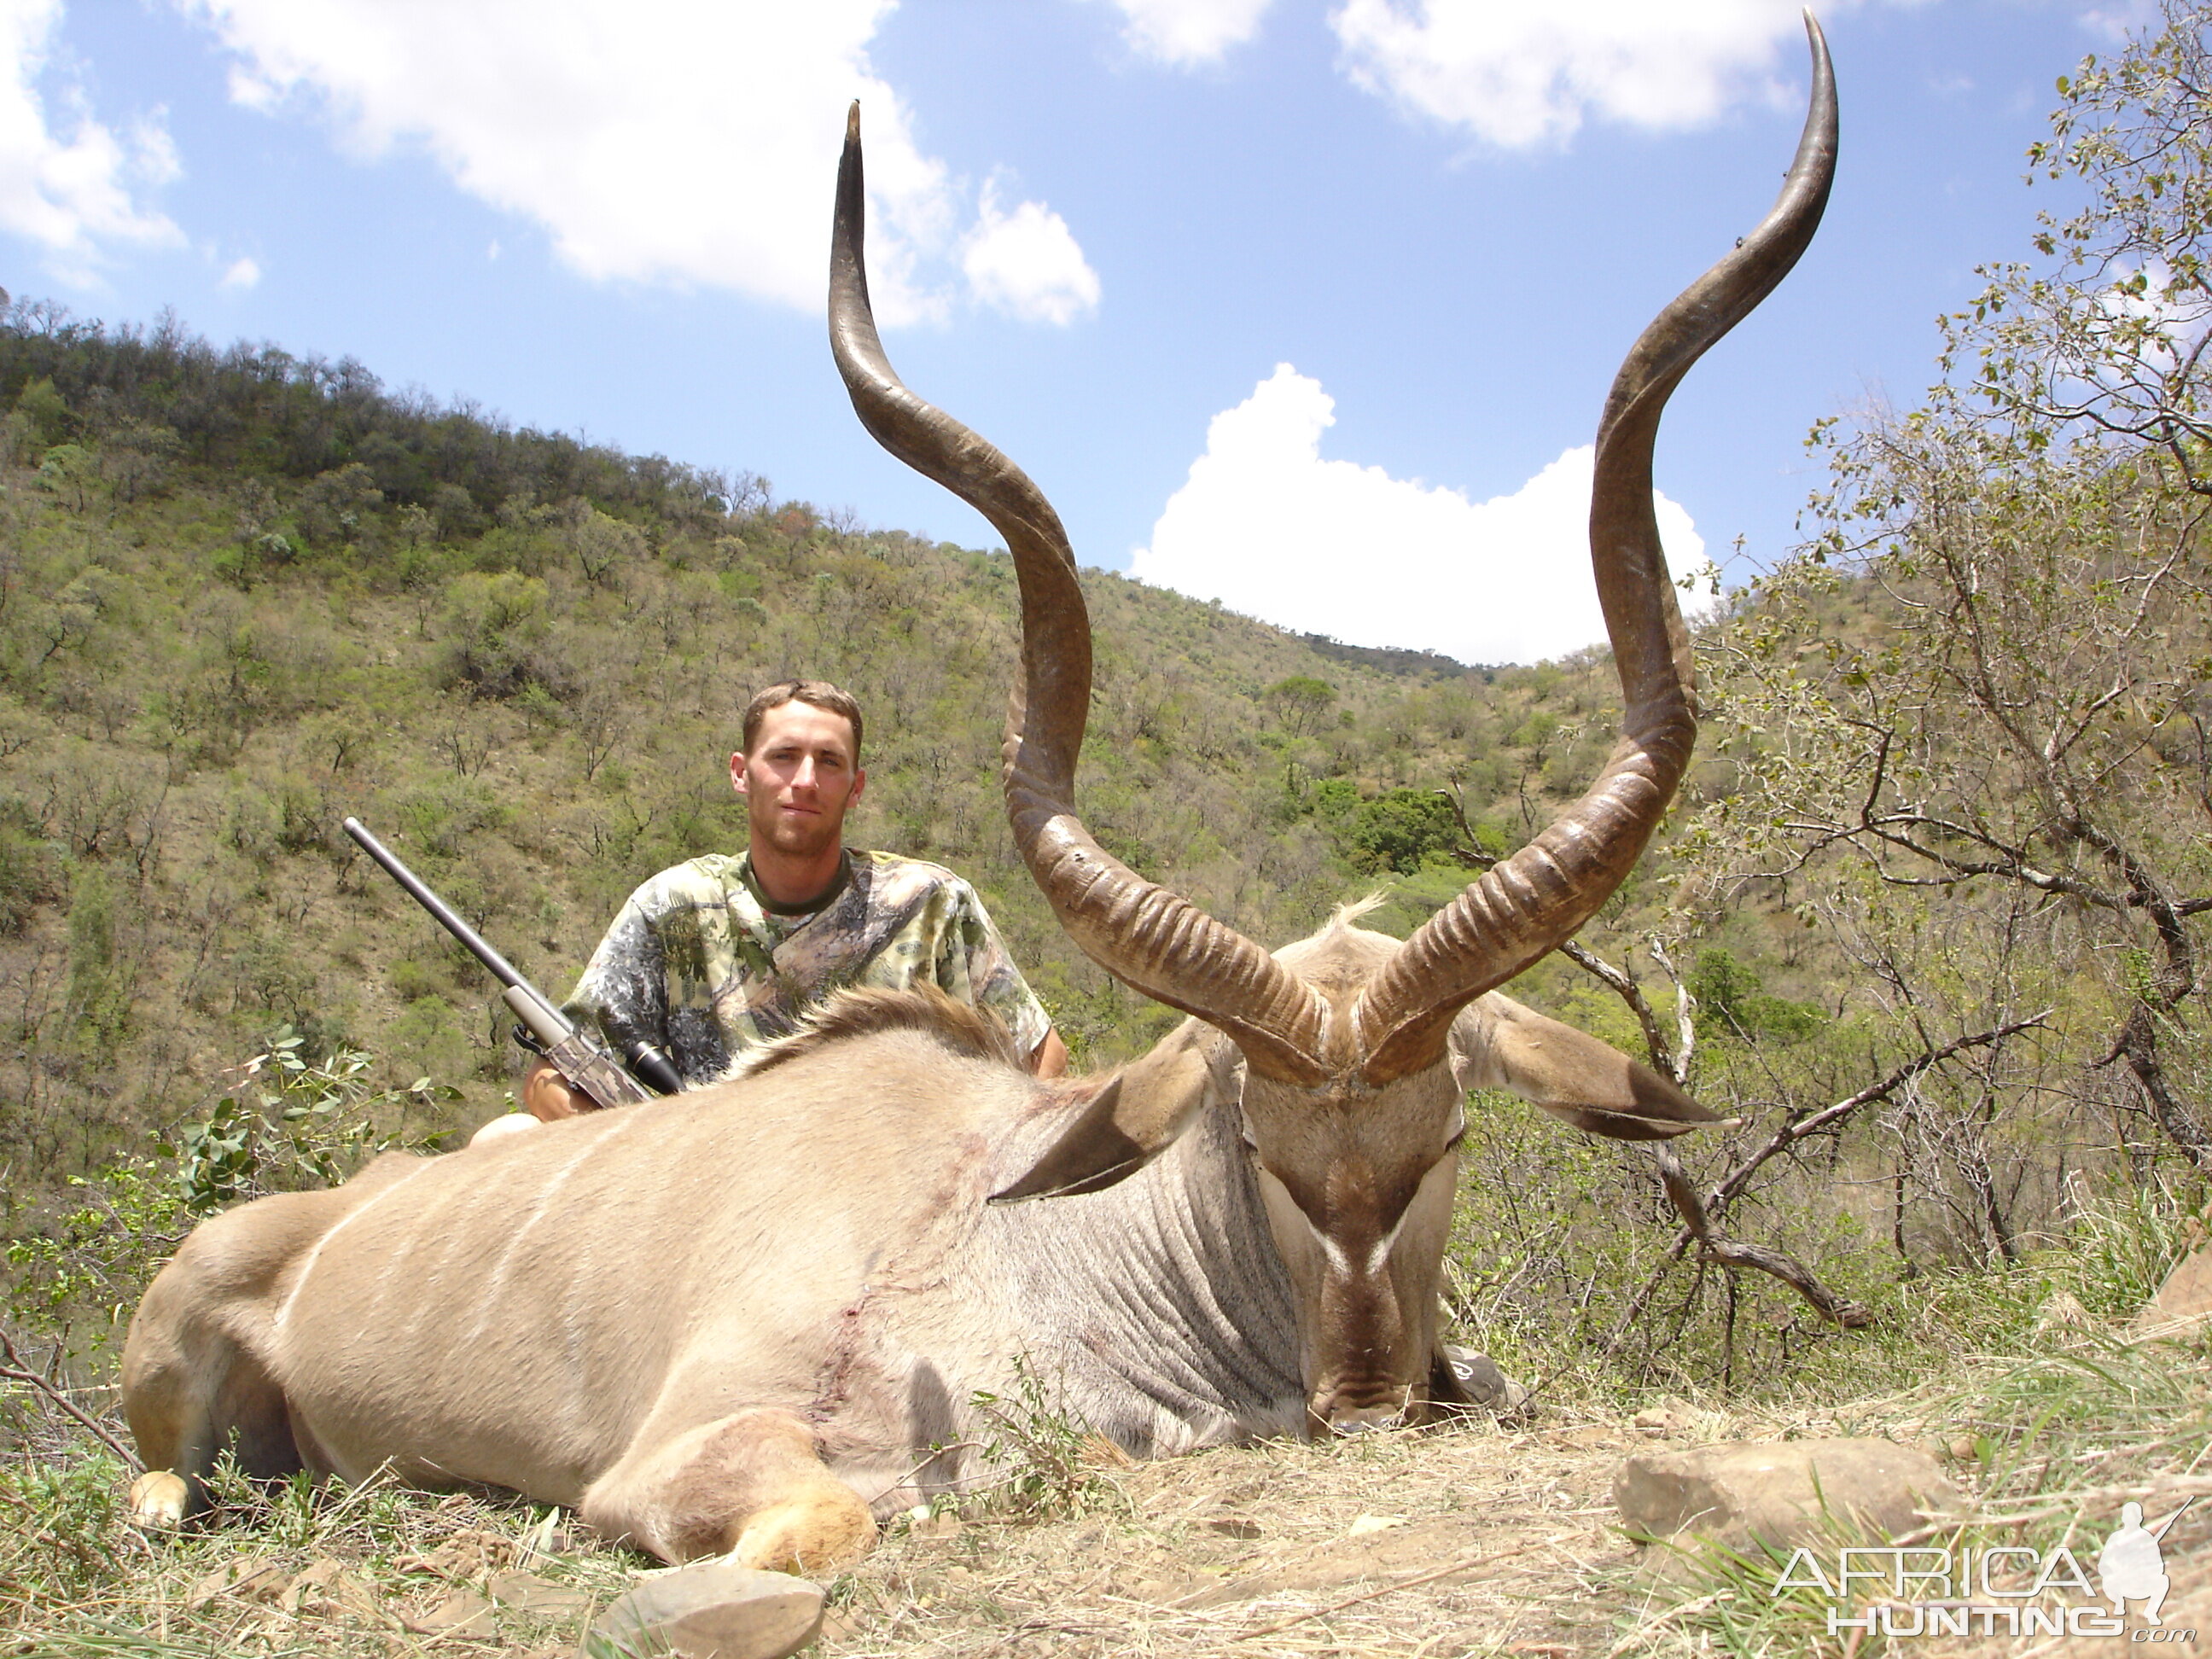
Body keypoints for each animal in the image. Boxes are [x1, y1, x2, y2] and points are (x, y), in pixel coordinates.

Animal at [125, 29, 1831, 1583]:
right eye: (1257, 1143)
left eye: (1451, 1135)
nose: (1363, 1395)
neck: (1028, 1238)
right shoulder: (686, 1454)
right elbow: (832, 1512)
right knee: (161, 1485)